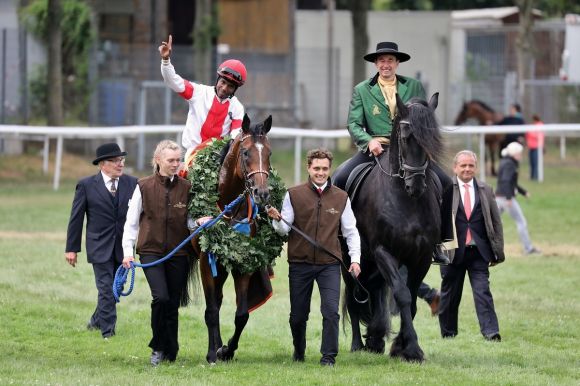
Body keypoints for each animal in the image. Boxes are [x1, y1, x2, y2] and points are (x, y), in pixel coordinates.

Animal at [340, 92, 444, 362]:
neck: (406, 201)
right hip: (350, 261)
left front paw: (401, 347)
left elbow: (412, 298)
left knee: (374, 291)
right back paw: (357, 344)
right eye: (406, 138)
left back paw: (375, 339)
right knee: (354, 299)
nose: (415, 185)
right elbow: (402, 295)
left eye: (432, 139)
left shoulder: (421, 257)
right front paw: (413, 348)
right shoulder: (384, 252)